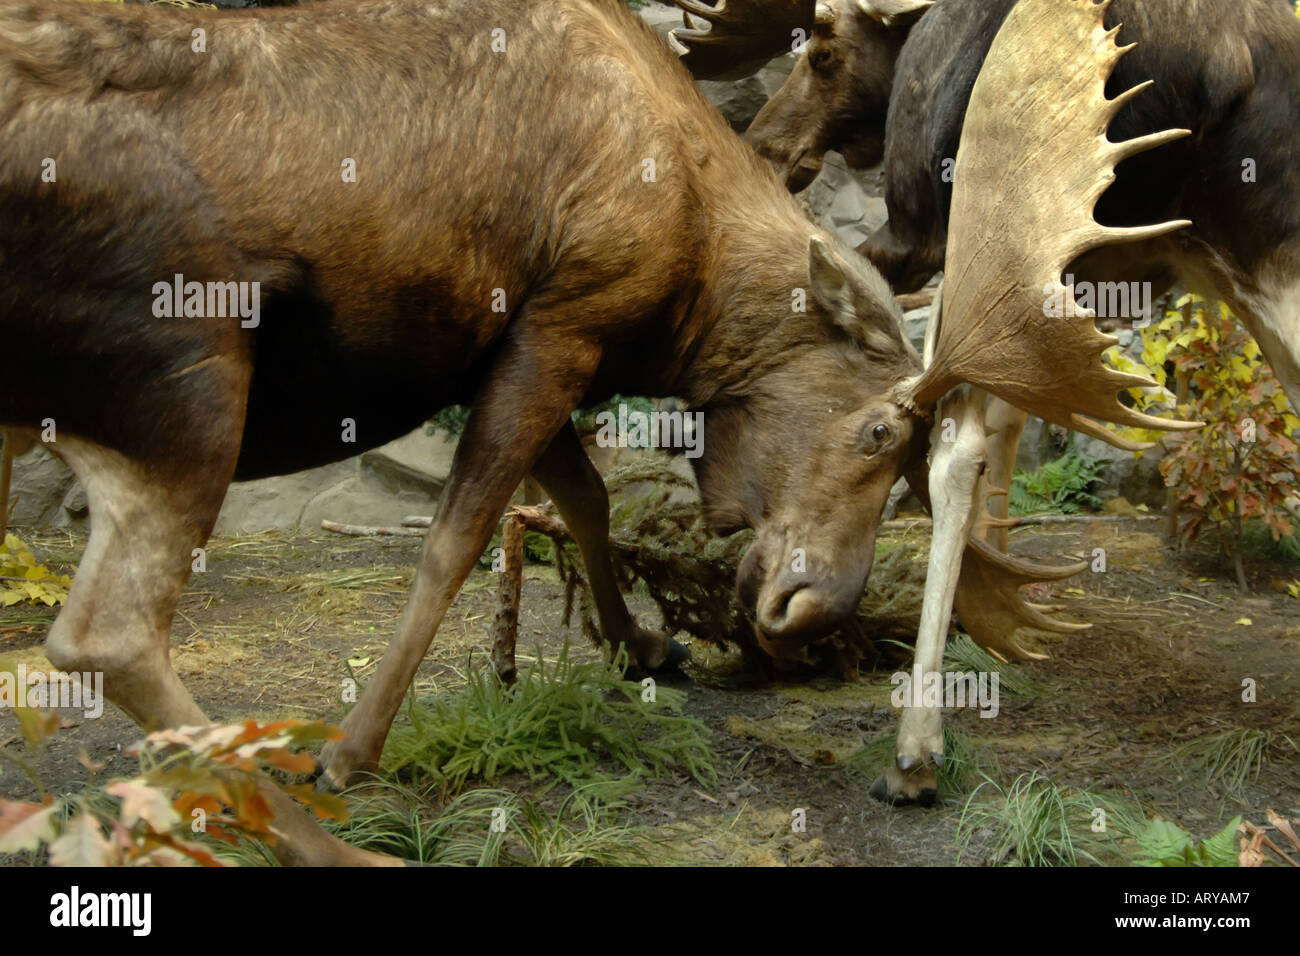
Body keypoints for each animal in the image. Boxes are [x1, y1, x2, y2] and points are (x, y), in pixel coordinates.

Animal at [2, 0, 1196, 858]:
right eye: (877, 431)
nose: (810, 609)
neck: (689, 302)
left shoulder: (537, 338)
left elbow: (579, 498)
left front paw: (641, 640)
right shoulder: (564, 318)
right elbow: (459, 533)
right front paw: (353, 747)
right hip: (186, 375)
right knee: (104, 632)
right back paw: (322, 831)